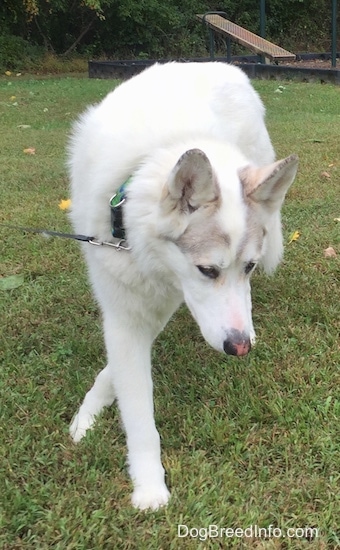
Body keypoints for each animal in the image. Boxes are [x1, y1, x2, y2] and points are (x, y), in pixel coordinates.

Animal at [68, 62, 298, 512]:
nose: (240, 347)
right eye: (207, 270)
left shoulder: (169, 301)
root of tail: (220, 64)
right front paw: (147, 483)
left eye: (249, 266)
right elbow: (135, 405)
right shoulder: (127, 311)